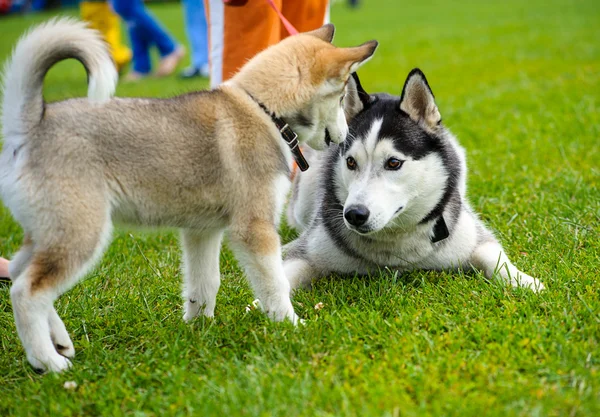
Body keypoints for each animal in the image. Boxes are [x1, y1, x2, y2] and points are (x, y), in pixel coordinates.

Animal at [0, 17, 376, 372]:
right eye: (340, 98)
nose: (344, 137)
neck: (262, 110)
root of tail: (31, 124)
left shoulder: (202, 231)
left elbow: (205, 282)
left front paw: (199, 327)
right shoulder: (254, 228)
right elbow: (275, 283)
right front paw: (291, 325)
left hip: (47, 233)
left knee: (19, 273)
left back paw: (60, 342)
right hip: (80, 234)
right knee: (26, 292)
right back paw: (47, 362)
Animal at [284, 69, 544, 292]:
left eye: (393, 163)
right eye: (350, 162)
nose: (354, 214)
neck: (397, 242)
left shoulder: (473, 235)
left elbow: (494, 256)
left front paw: (525, 281)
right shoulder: (305, 249)